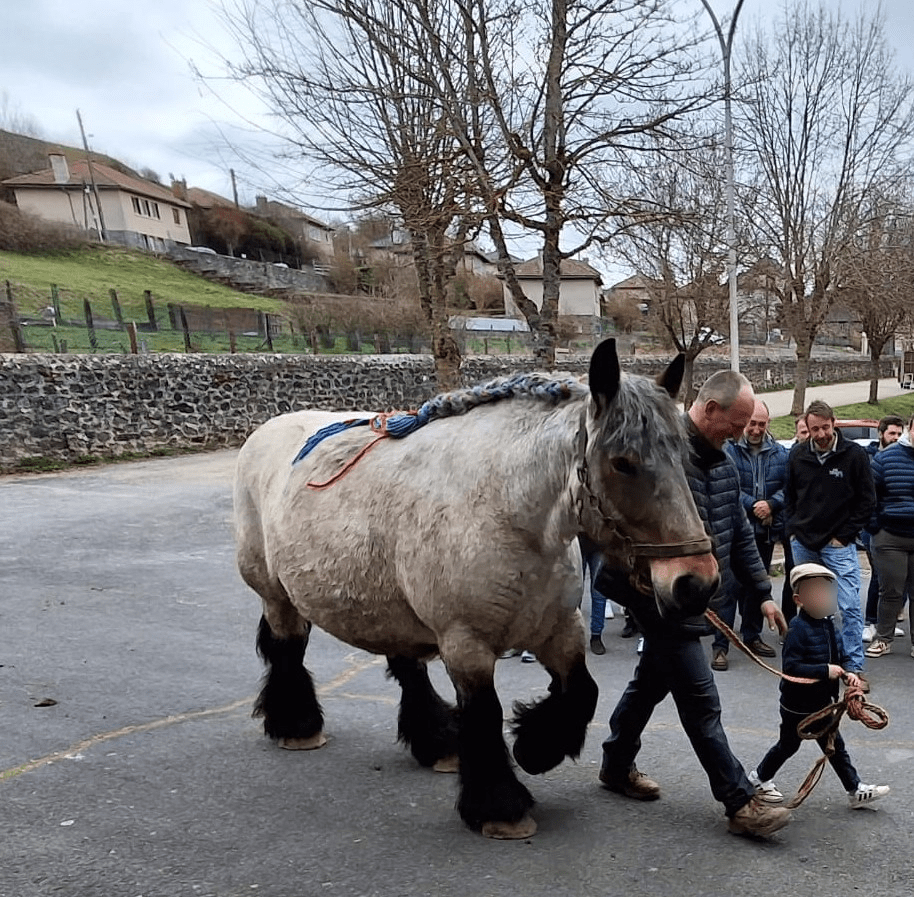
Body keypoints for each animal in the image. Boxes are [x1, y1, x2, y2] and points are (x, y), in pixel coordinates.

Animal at [233, 338, 719, 839]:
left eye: (684, 458)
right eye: (623, 463)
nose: (695, 582)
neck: (505, 512)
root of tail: (267, 431)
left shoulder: (561, 630)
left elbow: (582, 693)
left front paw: (535, 747)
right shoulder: (466, 644)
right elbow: (485, 713)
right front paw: (500, 807)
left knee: (406, 666)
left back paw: (437, 743)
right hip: (277, 596)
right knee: (288, 648)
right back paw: (298, 725)